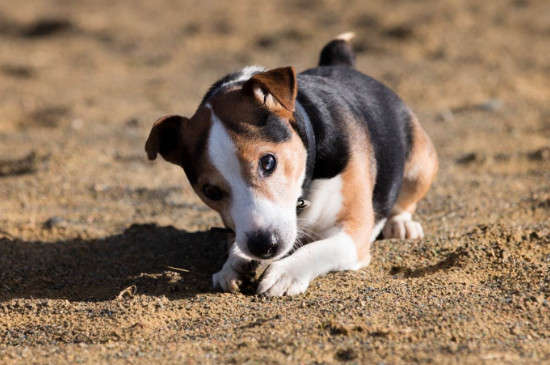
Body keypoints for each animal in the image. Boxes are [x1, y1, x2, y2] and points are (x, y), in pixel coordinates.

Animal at [146, 32, 440, 296]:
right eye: (211, 191)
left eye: (268, 162)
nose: (264, 245)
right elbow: (236, 244)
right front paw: (231, 265)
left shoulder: (354, 231)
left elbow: (317, 248)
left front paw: (285, 272)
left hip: (419, 166)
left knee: (404, 202)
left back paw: (400, 224)